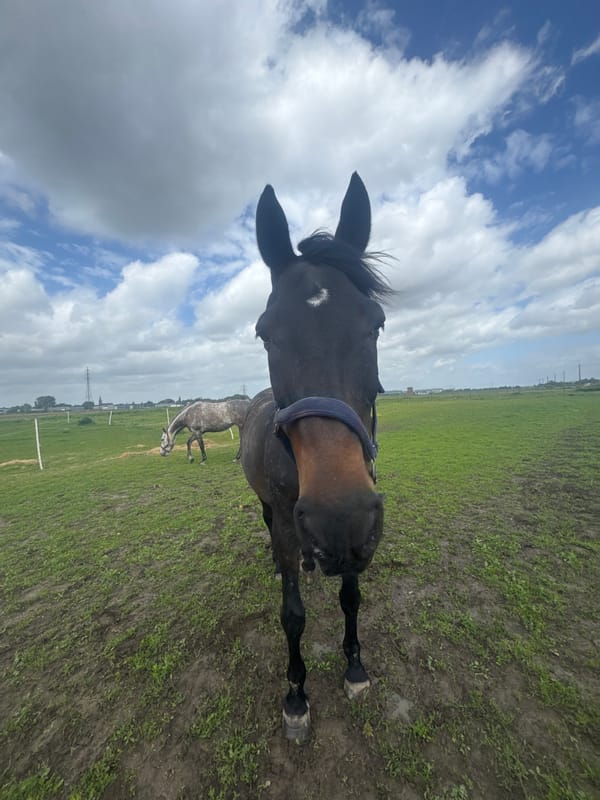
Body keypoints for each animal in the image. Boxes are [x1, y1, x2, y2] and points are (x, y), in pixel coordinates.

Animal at [240, 172, 390, 742]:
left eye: (376, 324)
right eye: (265, 333)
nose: (337, 517)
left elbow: (351, 598)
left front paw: (354, 668)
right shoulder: (287, 521)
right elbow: (293, 615)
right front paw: (296, 696)